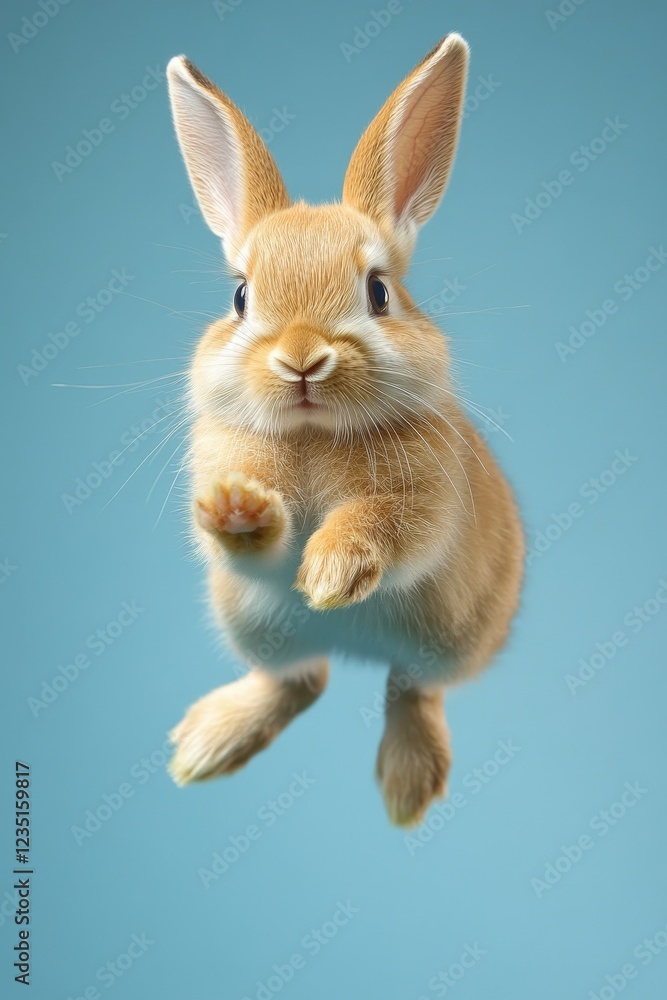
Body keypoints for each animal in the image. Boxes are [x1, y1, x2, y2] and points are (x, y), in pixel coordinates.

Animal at [166, 33, 524, 827]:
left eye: (378, 292)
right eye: (241, 297)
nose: (301, 358)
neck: (314, 434)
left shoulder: (425, 505)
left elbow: (384, 524)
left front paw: (329, 572)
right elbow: (255, 546)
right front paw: (238, 509)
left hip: (450, 635)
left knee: (409, 688)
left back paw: (407, 784)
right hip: (252, 624)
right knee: (299, 681)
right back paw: (206, 744)